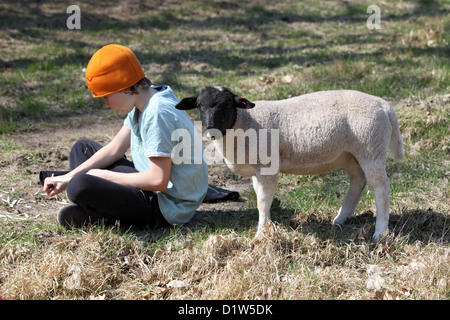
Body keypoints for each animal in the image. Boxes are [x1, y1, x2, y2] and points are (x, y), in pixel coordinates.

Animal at [176, 86, 404, 241]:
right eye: (200, 106)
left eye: (226, 105)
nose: (210, 131)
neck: (244, 123)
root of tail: (384, 106)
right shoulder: (256, 170)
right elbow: (261, 198)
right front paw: (268, 225)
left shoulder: (267, 166)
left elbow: (262, 201)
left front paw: (261, 234)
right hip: (352, 154)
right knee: (358, 182)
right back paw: (341, 218)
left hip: (371, 148)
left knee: (381, 189)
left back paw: (380, 232)